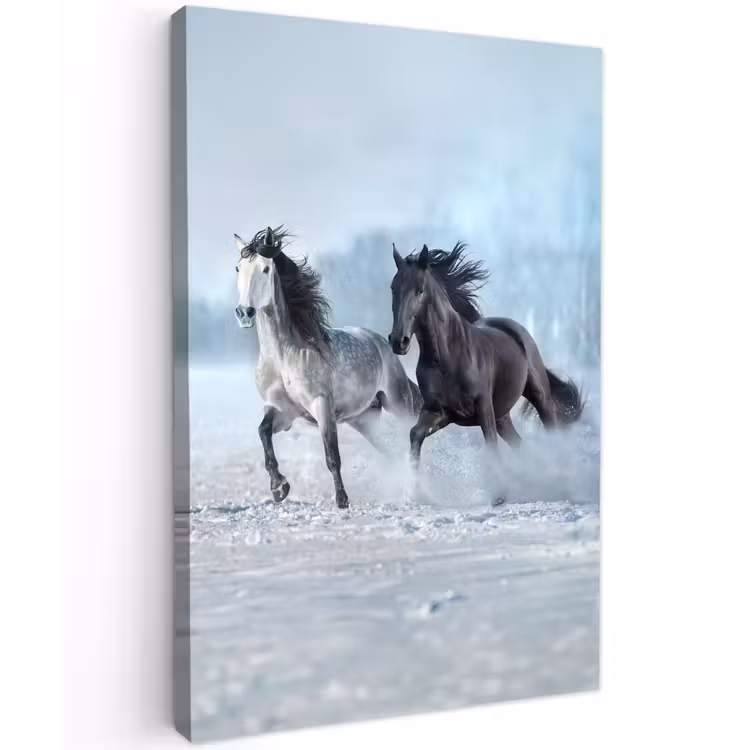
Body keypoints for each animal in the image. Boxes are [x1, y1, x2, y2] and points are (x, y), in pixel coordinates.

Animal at [234, 226, 423, 510]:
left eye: (265, 269)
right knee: (392, 450)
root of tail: (382, 341)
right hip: (364, 419)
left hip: (398, 403)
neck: (284, 357)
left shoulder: (322, 406)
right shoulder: (282, 411)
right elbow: (263, 433)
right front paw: (279, 487)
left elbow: (332, 455)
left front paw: (342, 500)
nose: (244, 312)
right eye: (238, 267)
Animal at [388, 241, 585, 504]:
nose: (398, 341)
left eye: (420, 290)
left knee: (550, 428)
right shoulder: (439, 412)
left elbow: (490, 445)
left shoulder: (483, 408)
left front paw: (499, 495)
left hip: (537, 396)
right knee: (519, 444)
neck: (446, 357)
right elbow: (414, 434)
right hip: (503, 415)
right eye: (393, 289)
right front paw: (413, 492)